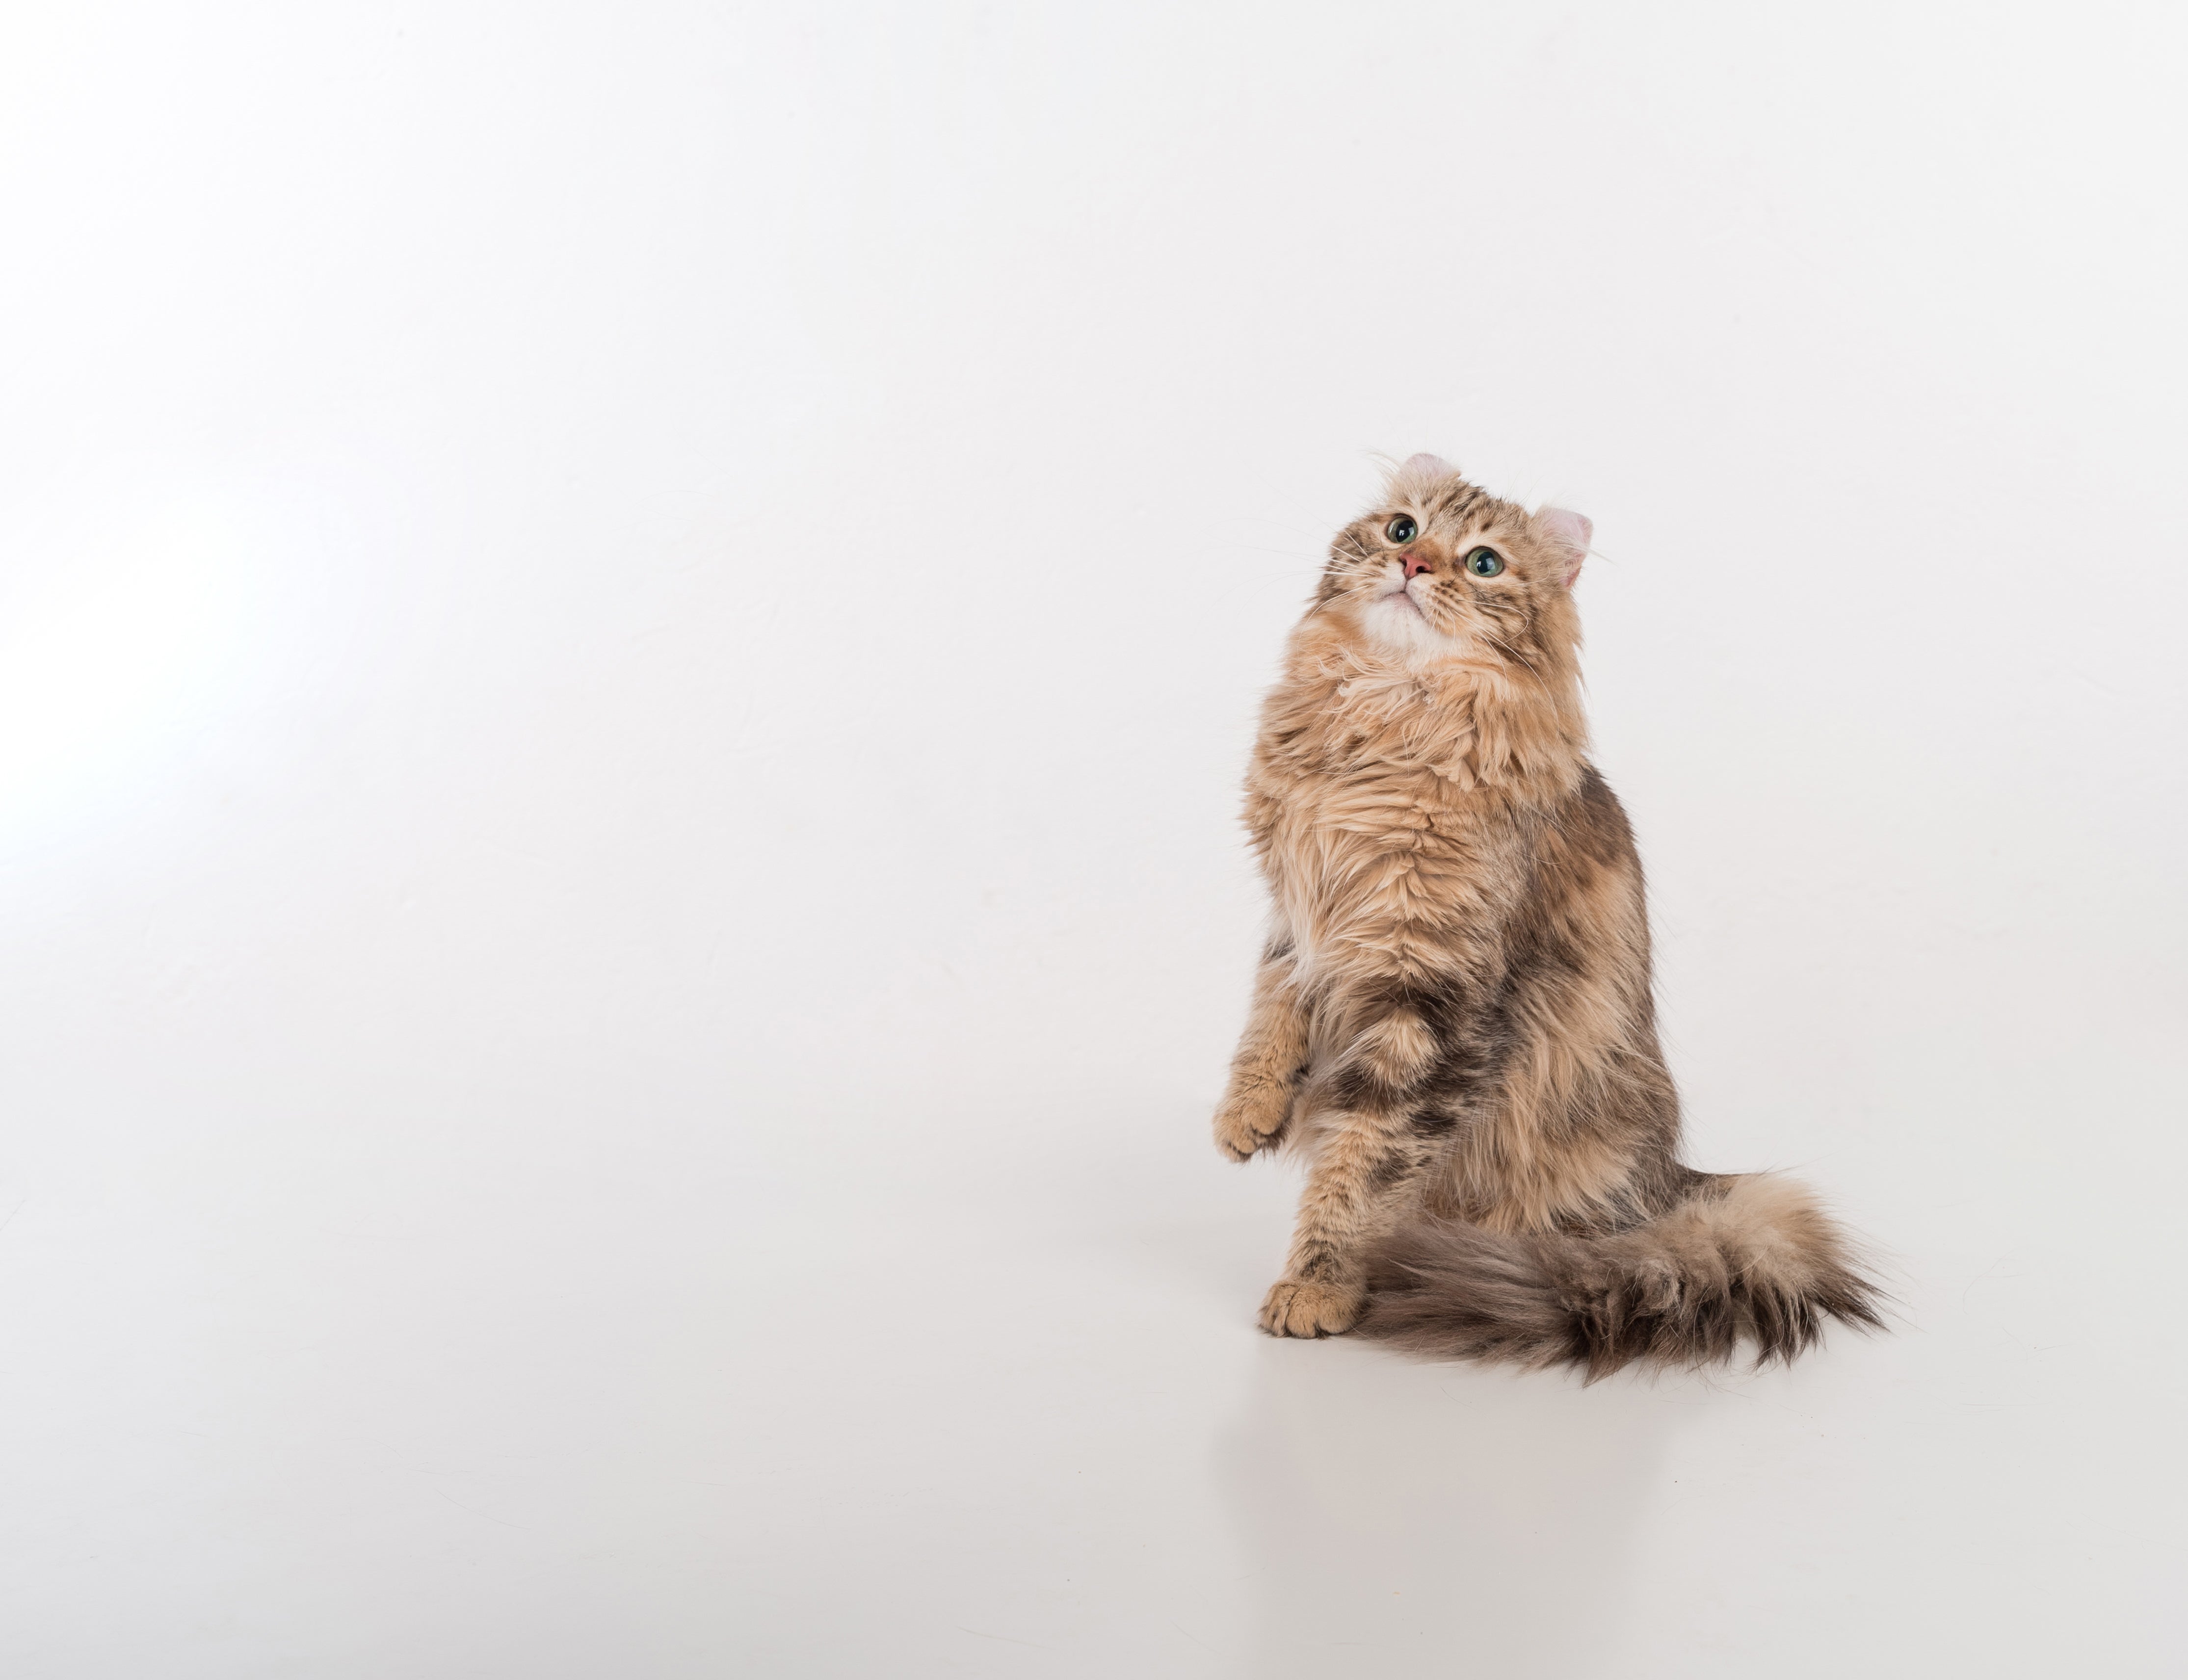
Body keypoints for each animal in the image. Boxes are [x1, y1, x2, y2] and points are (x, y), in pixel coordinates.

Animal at [1216, 452, 1881, 1373]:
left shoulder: (1426, 1000)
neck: (1373, 720)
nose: (1413, 564)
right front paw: (1244, 1115)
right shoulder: (1297, 919)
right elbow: (1267, 1019)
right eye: (1400, 528)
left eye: (1483, 563)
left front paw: (1317, 1284)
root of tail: (1676, 1185)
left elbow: (1362, 1163)